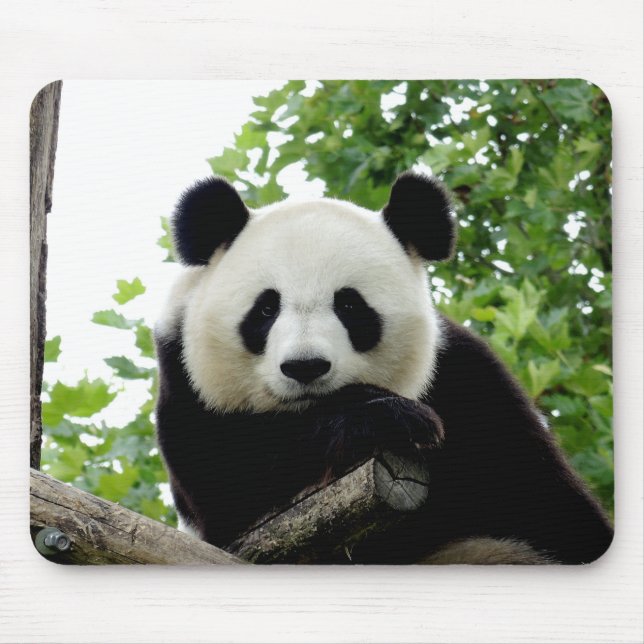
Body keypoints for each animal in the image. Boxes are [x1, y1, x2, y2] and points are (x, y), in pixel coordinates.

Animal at [154, 171, 613, 564]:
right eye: (266, 309)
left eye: (350, 306)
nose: (306, 367)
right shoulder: (185, 385)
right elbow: (235, 481)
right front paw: (388, 418)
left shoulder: (471, 382)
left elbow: (543, 498)